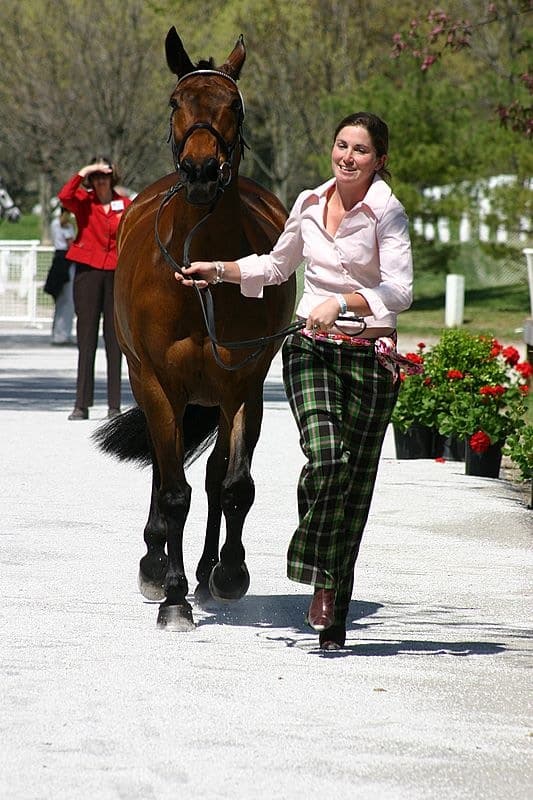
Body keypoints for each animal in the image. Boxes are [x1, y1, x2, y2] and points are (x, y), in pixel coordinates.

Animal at [94, 26, 296, 632]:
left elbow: (232, 485)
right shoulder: (160, 384)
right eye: (174, 102)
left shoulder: (242, 384)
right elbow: (173, 491)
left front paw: (227, 572)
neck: (200, 272)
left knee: (210, 476)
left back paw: (208, 569)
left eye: (234, 105)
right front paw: (173, 594)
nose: (202, 171)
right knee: (167, 475)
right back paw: (156, 561)